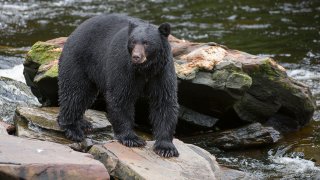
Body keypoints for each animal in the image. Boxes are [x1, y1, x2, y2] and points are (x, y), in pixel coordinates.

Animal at [56, 14, 179, 157]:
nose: (136, 56)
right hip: (79, 60)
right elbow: (120, 97)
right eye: (133, 42)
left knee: (86, 95)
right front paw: (132, 138)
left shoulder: (161, 72)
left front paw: (166, 148)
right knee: (75, 92)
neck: (145, 69)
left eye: (146, 42)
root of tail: (74, 31)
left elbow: (164, 101)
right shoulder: (123, 67)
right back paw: (73, 129)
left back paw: (83, 123)